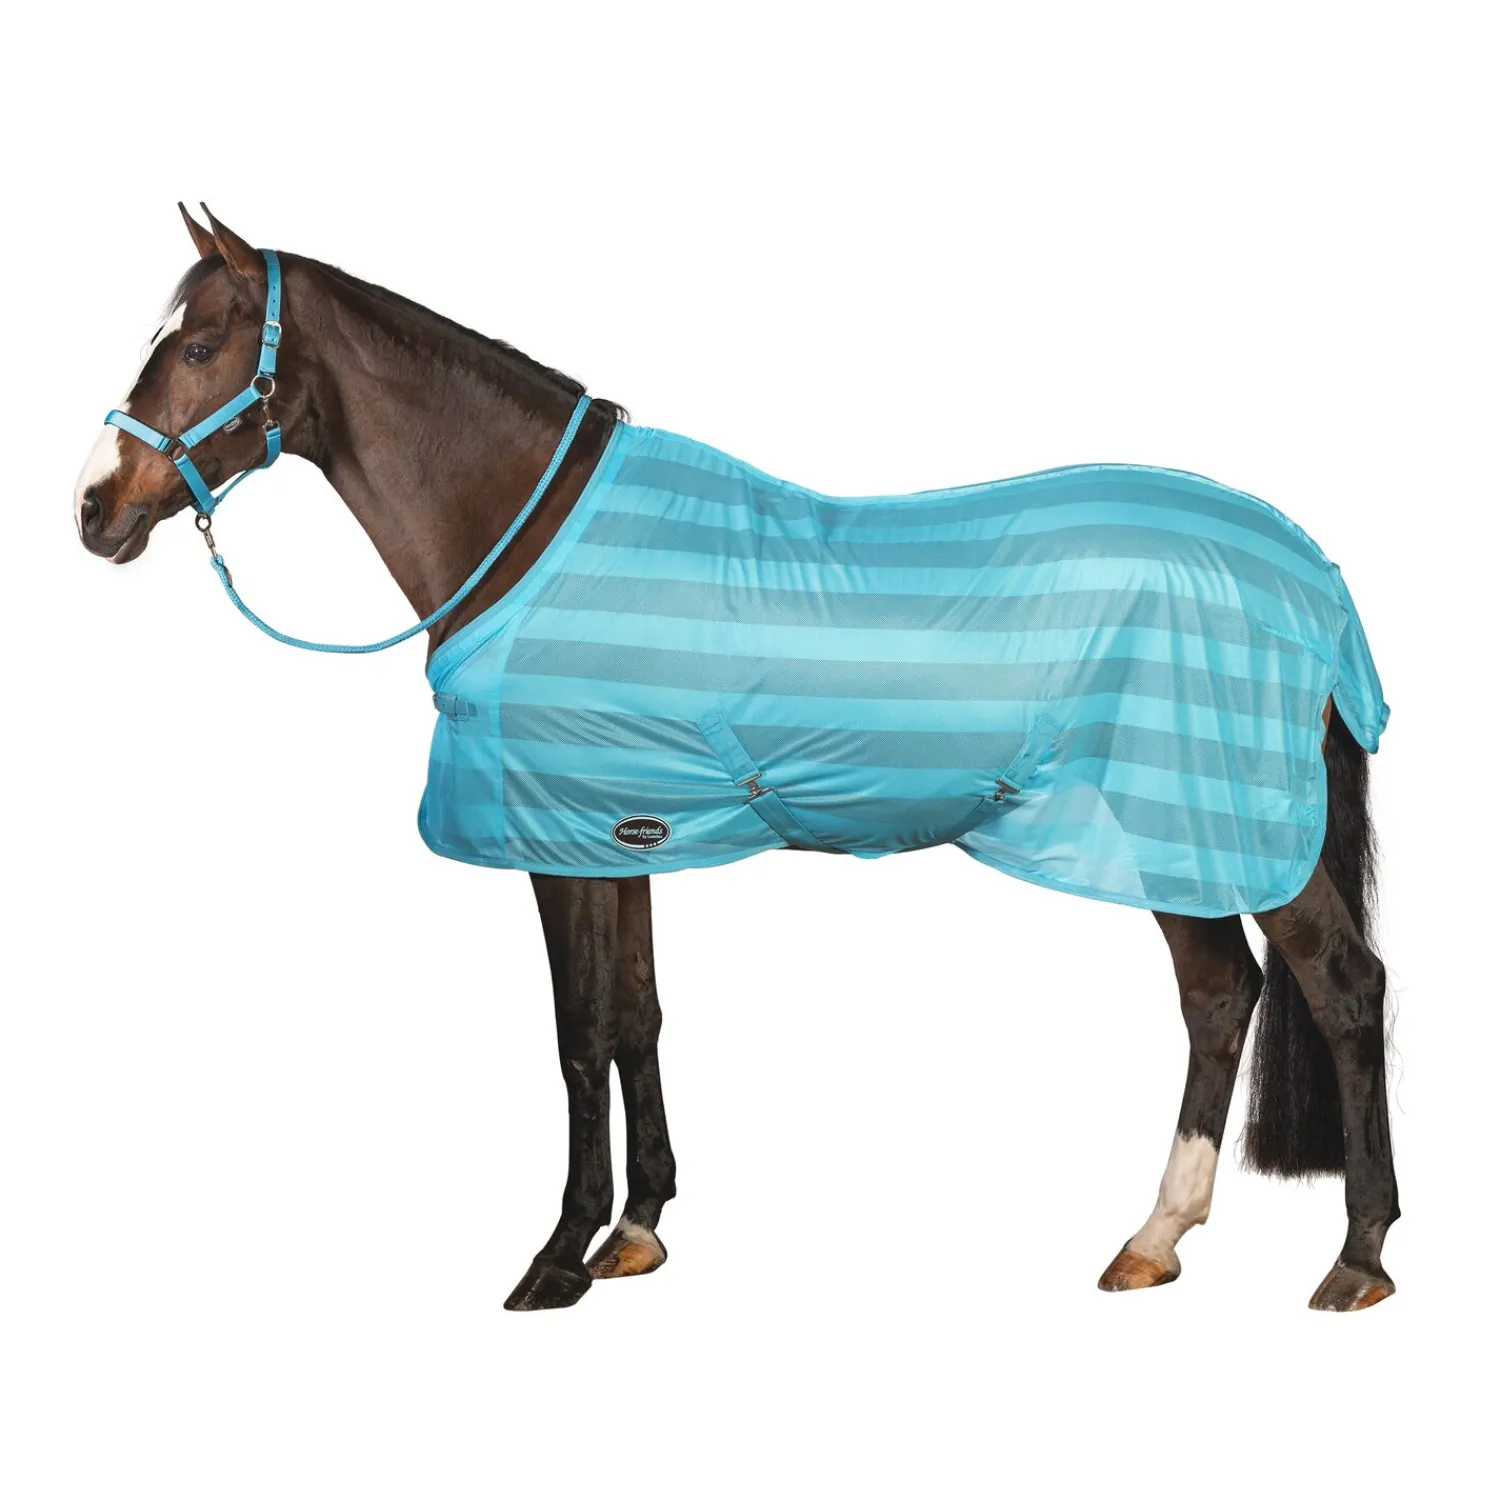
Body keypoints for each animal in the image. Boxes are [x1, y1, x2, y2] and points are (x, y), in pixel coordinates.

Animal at [74, 206, 1398, 1312]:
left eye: (200, 347)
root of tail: (1311, 572)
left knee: (1341, 987)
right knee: (1220, 996)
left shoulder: (556, 841)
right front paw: (639, 1229)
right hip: (1176, 832)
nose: (94, 508)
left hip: (1220, 825)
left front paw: (557, 1259)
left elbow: (578, 1034)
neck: (534, 535)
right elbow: (638, 1016)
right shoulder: (624, 833)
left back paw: (1358, 1257)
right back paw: (1155, 1239)